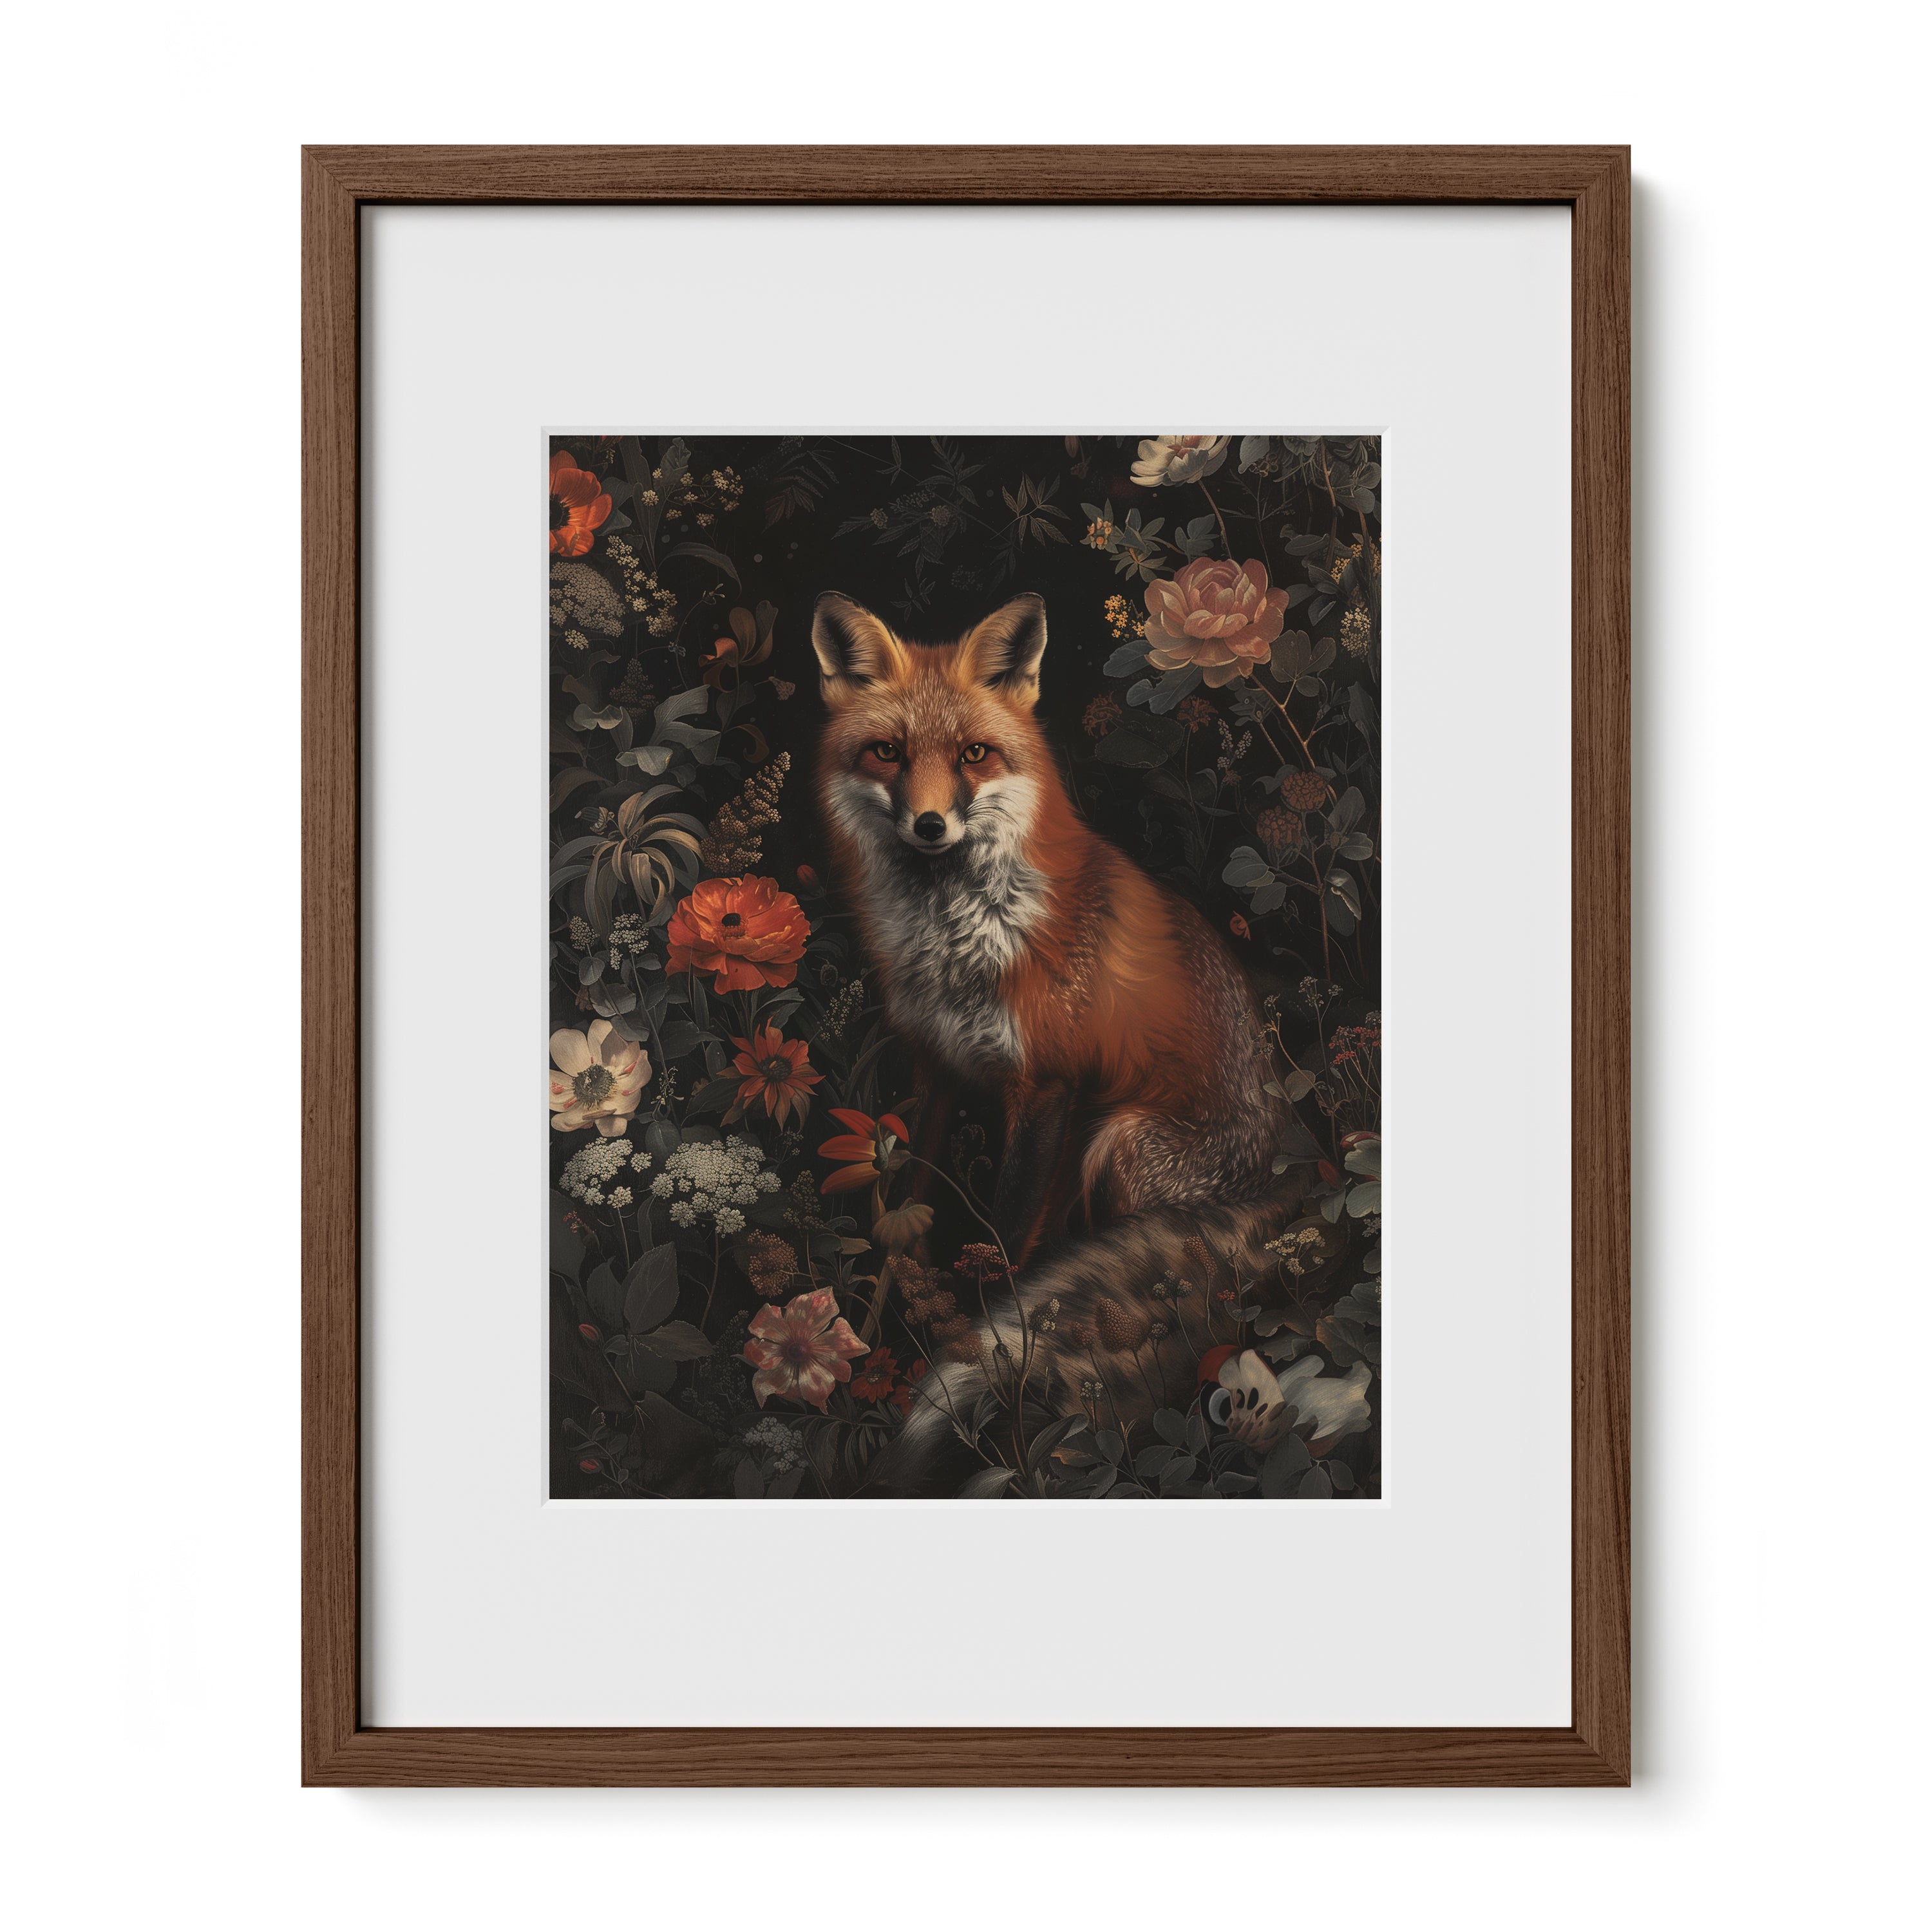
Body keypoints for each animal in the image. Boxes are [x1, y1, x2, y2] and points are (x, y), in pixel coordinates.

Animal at [809, 590, 1320, 1494]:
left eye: (975, 755)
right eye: (887, 752)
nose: (931, 824)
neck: (960, 940)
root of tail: (1293, 1170)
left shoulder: (1047, 1087)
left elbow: (1008, 1247)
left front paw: (975, 1355)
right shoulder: (935, 1070)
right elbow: (902, 1224)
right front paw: (867, 1345)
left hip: (1120, 1143)